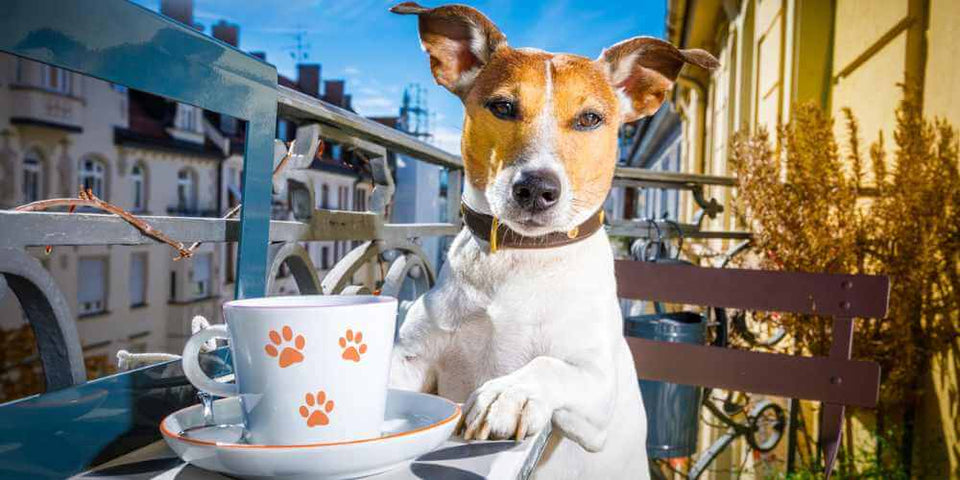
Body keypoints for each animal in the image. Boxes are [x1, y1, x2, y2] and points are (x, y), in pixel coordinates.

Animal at [386, 2, 716, 476]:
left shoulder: (597, 386)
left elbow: (549, 365)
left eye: (590, 118)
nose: (536, 188)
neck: (522, 257)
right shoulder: (412, 361)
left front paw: (506, 394)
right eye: (503, 106)